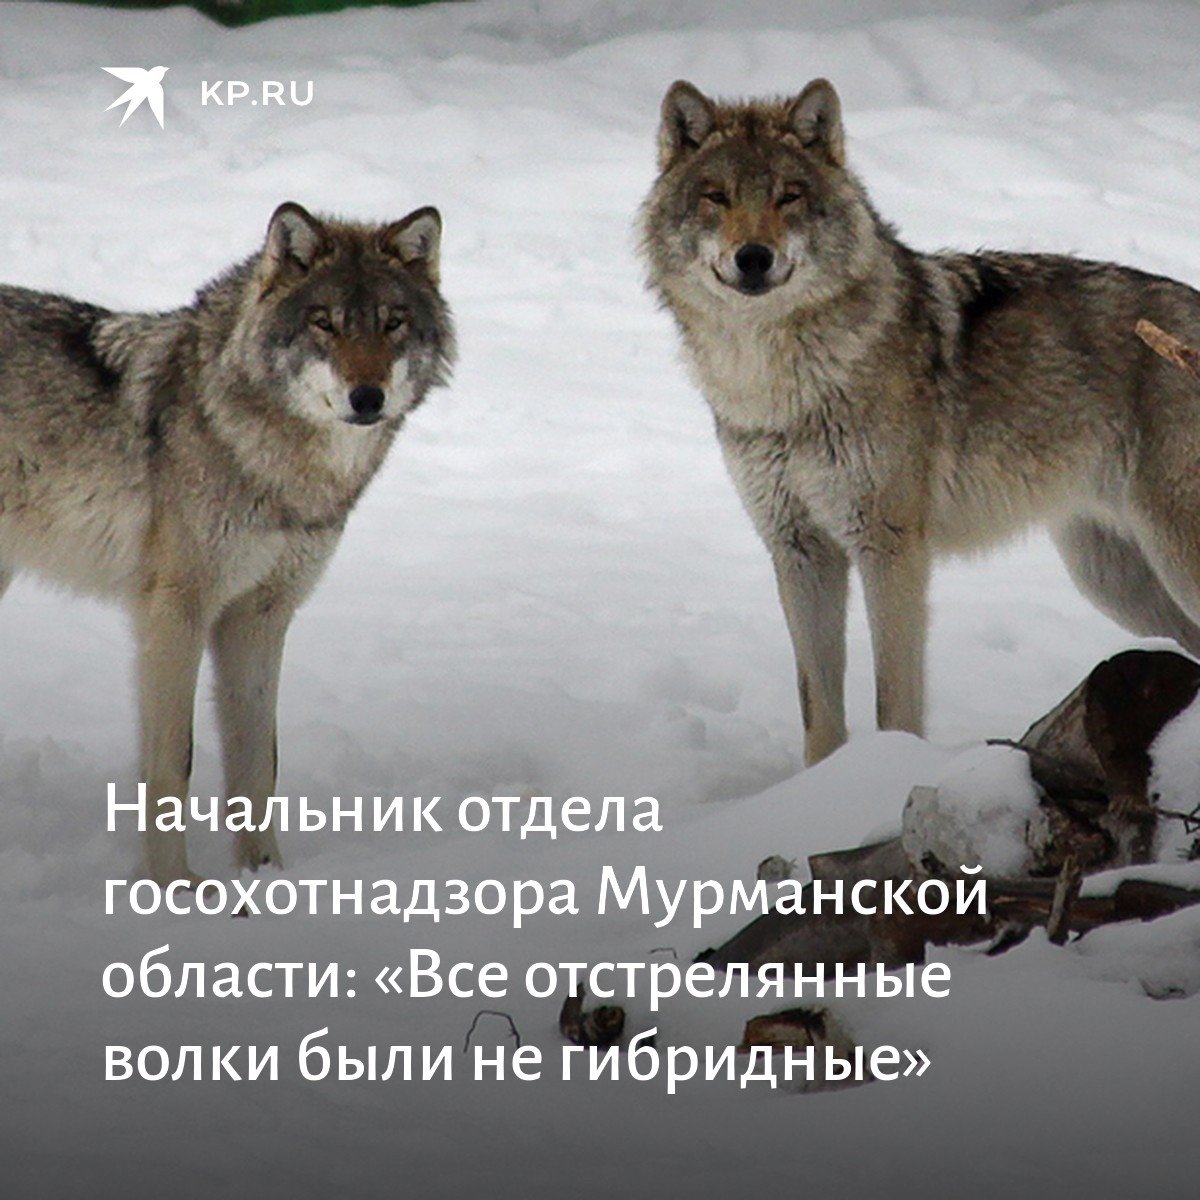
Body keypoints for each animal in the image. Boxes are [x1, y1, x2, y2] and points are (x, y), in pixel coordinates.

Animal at [0, 202, 454, 883]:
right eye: (324, 323)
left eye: (392, 323)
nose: (366, 397)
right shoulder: (175, 613)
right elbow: (175, 761)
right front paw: (175, 888)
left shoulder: (260, 615)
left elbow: (258, 759)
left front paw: (265, 876)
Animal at [640, 78, 1200, 766]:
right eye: (716, 197)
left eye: (788, 196)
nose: (753, 257)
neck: (779, 385)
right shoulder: (798, 549)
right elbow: (818, 708)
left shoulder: (890, 545)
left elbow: (894, 698)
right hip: (1118, 582)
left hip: (1167, 561)